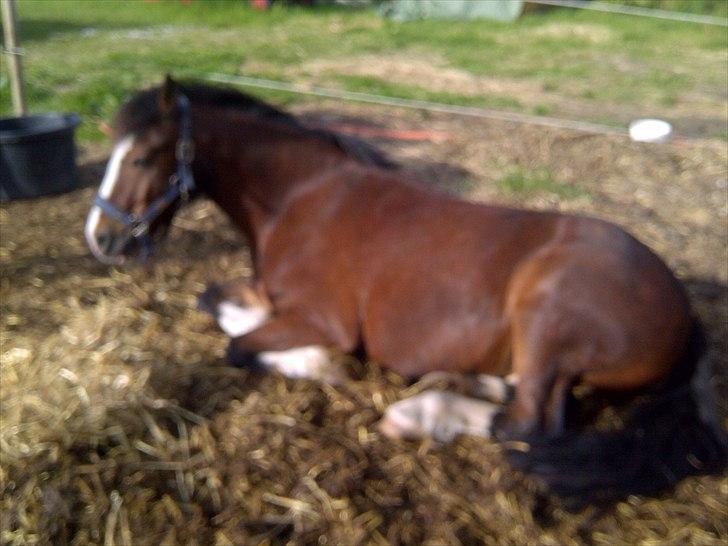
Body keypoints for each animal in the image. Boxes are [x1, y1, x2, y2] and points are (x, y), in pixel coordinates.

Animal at [84, 76, 724, 502]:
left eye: (143, 156)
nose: (101, 238)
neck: (302, 199)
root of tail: (686, 313)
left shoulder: (324, 318)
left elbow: (240, 348)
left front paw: (323, 364)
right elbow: (213, 300)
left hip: (545, 314)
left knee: (526, 427)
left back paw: (419, 412)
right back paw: (464, 380)